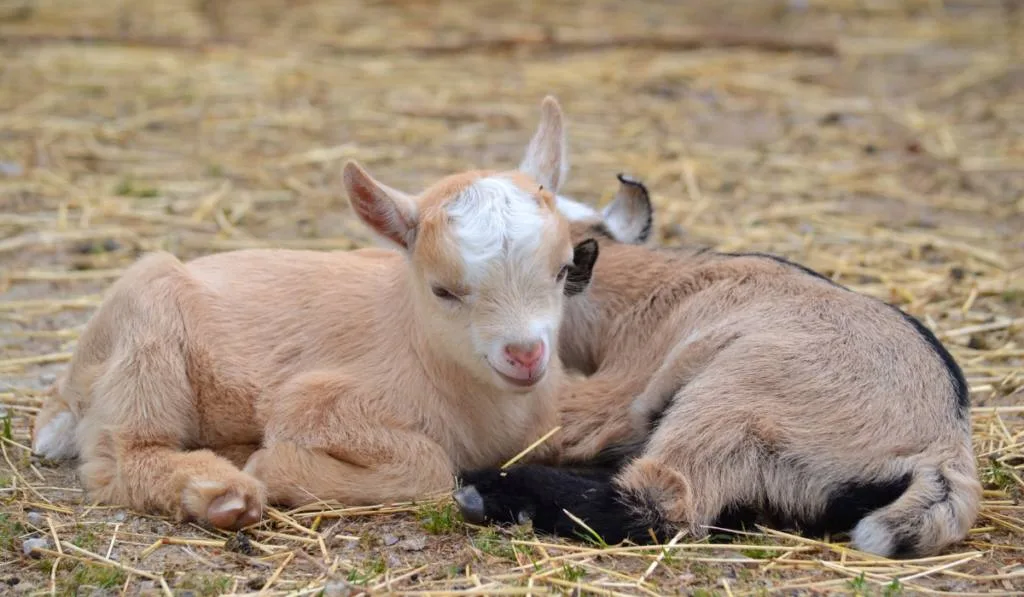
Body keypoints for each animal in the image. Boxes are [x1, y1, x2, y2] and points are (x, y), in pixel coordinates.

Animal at [29, 96, 598, 532]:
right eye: (443, 290)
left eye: (563, 270)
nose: (525, 355)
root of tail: (70, 382)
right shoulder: (316, 404)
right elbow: (431, 467)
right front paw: (273, 464)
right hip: (147, 337)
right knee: (122, 455)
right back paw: (223, 492)